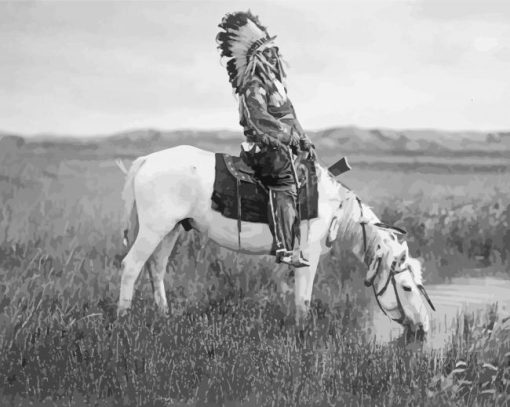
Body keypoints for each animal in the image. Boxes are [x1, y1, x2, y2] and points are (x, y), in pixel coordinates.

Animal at [116, 147, 434, 334]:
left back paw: (164, 316)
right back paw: (123, 319)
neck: (334, 206)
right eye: (406, 287)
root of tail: (146, 160)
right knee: (131, 267)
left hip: (170, 229)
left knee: (156, 269)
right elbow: (303, 300)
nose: (423, 328)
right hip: (154, 228)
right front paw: (302, 335)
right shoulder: (307, 256)